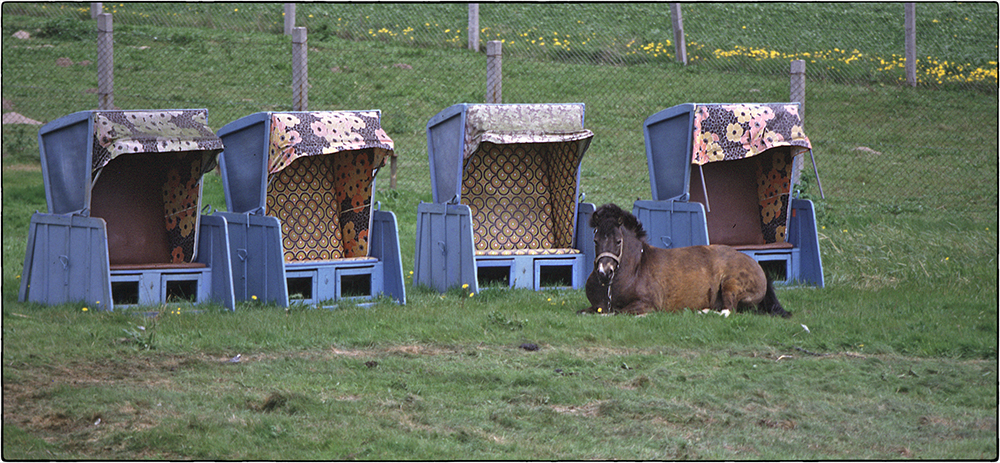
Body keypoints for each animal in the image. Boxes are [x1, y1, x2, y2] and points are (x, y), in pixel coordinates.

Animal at [580, 204, 788, 318]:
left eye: (618, 241)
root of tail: (759, 268)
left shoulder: (647, 303)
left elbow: (618, 312)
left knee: (729, 310)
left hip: (731, 285)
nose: (604, 272)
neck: (635, 269)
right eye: (595, 240)